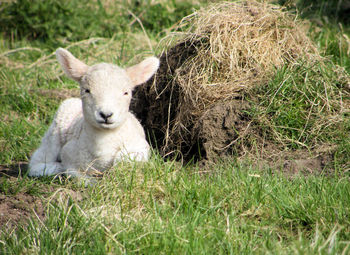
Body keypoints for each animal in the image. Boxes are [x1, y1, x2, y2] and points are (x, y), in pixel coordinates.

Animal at [29, 48, 159, 179]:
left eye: (126, 93)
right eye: (87, 90)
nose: (106, 114)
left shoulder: (140, 146)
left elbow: (123, 159)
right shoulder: (69, 153)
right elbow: (76, 175)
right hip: (54, 134)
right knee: (37, 163)